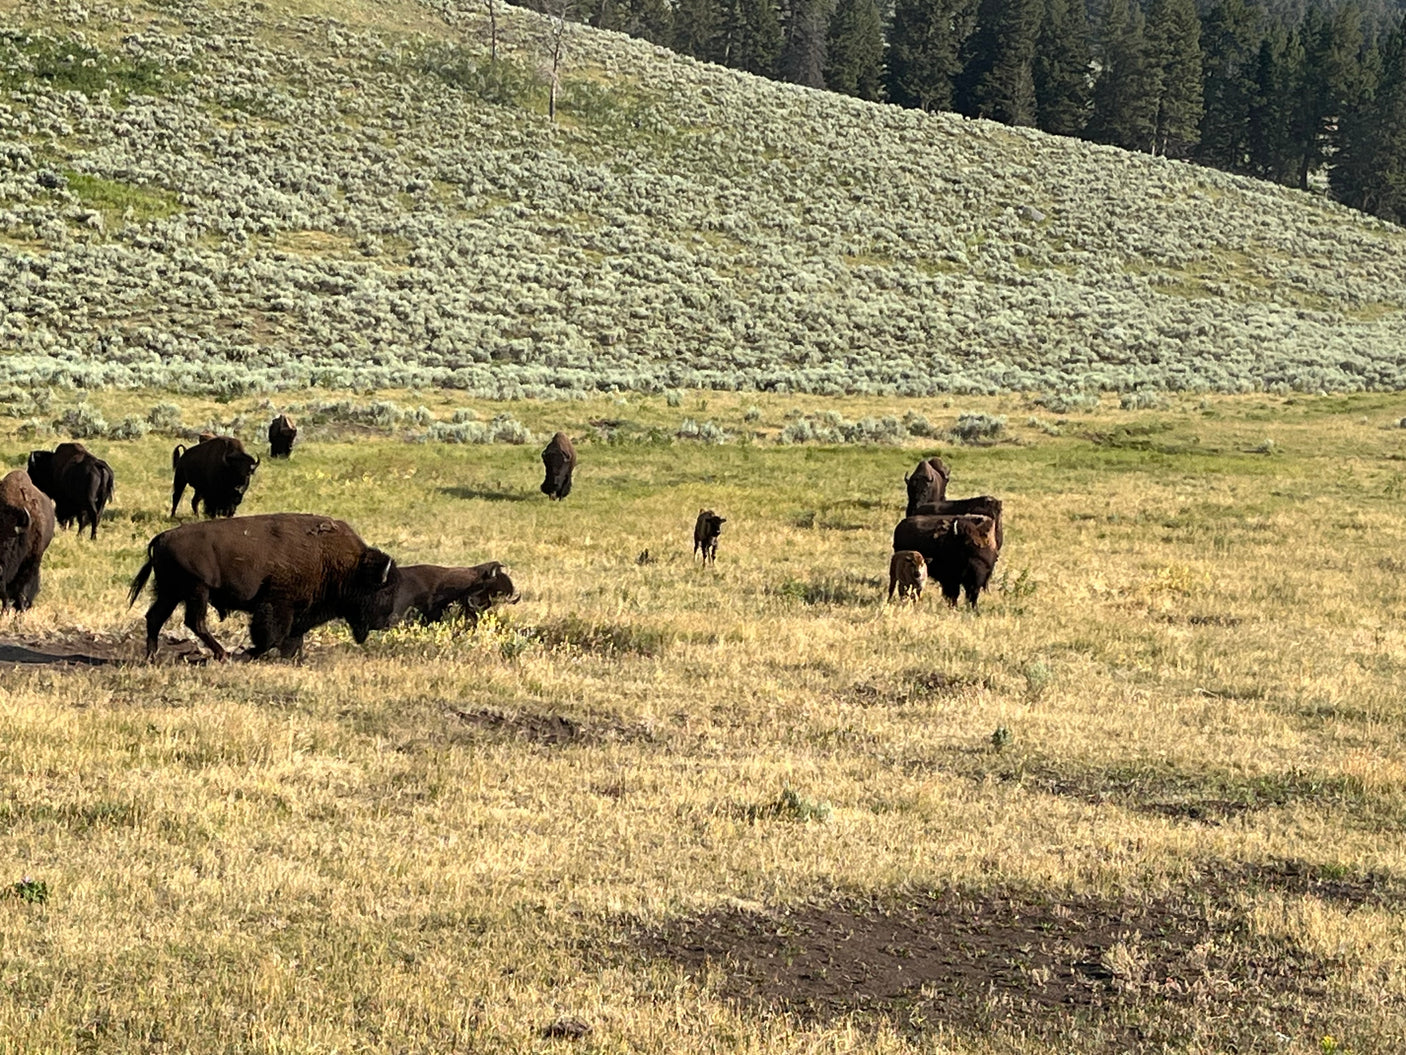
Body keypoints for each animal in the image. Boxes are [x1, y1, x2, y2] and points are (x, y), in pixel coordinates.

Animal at [127, 513, 400, 661]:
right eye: (384, 590)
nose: (384, 622)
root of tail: (161, 537)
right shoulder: (278, 604)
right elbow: (271, 635)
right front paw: (250, 653)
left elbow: (292, 636)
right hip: (197, 590)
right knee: (195, 622)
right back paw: (222, 655)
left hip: (170, 592)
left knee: (155, 617)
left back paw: (152, 656)